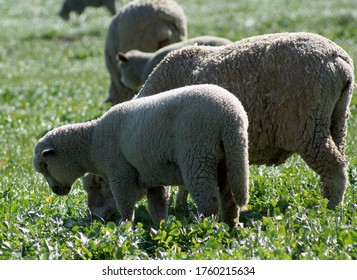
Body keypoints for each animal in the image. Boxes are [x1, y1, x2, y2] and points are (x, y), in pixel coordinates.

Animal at [34, 83, 250, 228]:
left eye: (45, 165)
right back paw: (229, 228)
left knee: (209, 201)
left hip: (198, 154)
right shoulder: (152, 173)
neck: (92, 143)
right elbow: (157, 206)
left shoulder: (120, 173)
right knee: (229, 198)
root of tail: (230, 115)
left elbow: (125, 205)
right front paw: (160, 228)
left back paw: (204, 229)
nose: (56, 191)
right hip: (227, 158)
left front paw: (124, 229)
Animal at [136, 32, 354, 208]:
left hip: (308, 129)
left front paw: (180, 209)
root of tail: (337, 57)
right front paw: (181, 206)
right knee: (339, 162)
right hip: (337, 120)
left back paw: (329, 210)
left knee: (334, 168)